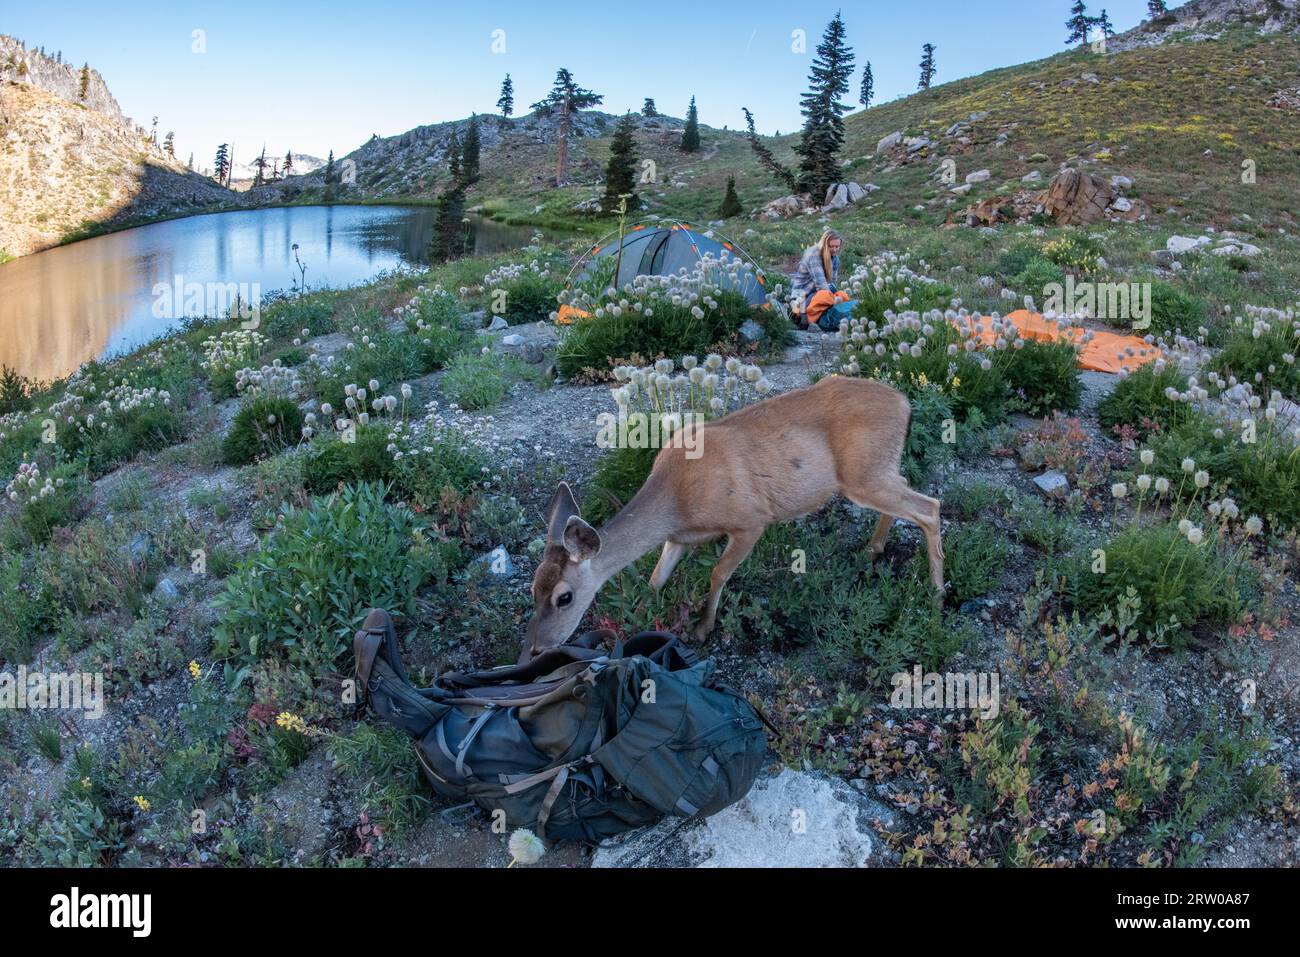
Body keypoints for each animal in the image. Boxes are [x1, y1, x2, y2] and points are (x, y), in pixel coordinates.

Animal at [520, 374, 946, 657]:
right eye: (533, 588)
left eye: (564, 597)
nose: (537, 647)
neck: (677, 501)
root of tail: (905, 403)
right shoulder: (677, 538)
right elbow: (656, 580)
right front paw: (636, 623)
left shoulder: (750, 519)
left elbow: (717, 573)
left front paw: (702, 629)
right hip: (876, 473)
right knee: (907, 495)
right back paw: (872, 551)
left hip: (864, 476)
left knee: (931, 508)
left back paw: (937, 594)